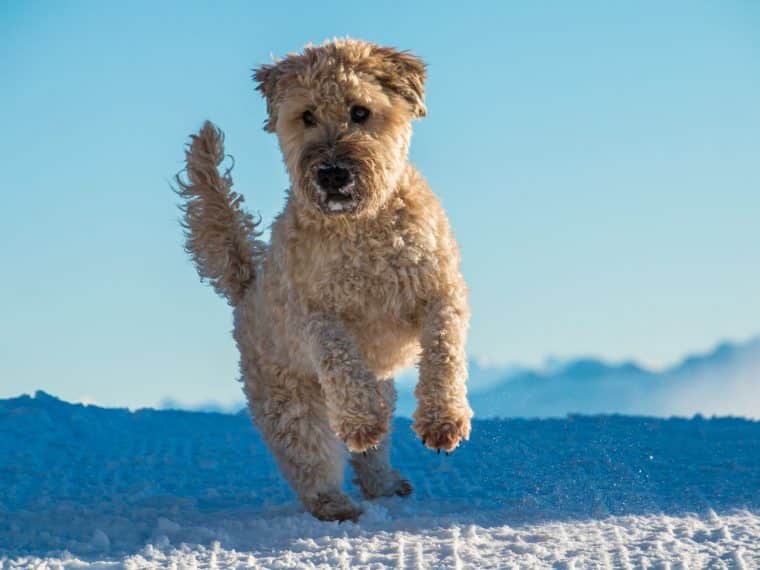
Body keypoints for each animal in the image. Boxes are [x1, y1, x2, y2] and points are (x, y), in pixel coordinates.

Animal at [175, 38, 472, 520]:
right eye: (307, 115)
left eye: (360, 111)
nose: (332, 174)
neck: (362, 228)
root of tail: (247, 286)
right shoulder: (317, 315)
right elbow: (341, 360)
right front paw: (360, 422)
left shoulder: (440, 292)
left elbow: (444, 353)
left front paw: (442, 421)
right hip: (287, 397)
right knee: (310, 454)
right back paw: (336, 502)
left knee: (372, 450)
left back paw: (384, 481)